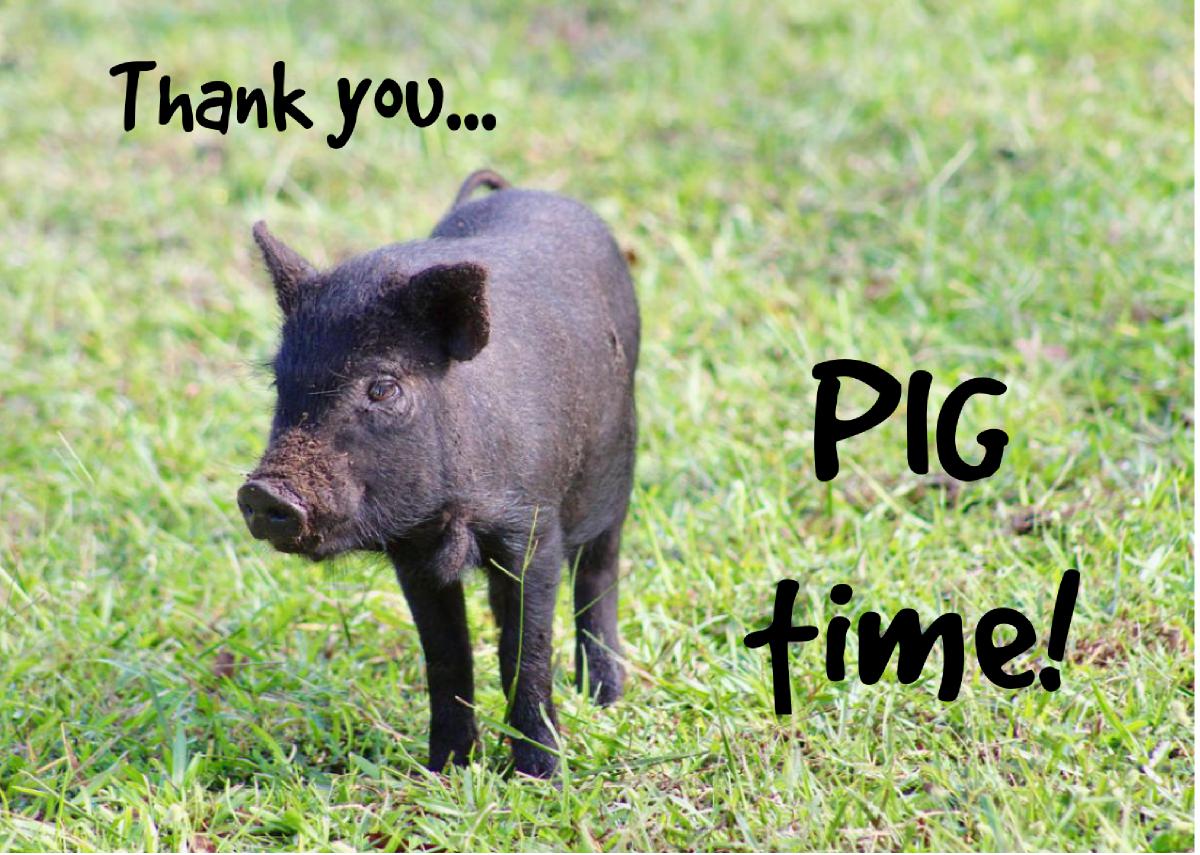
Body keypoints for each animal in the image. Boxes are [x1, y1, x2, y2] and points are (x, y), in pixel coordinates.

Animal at [237, 169, 638, 778]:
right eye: (280, 382)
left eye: (383, 387)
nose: (263, 492)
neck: (455, 513)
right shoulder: (414, 554)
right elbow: (447, 656)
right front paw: (446, 769)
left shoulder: (532, 529)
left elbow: (526, 647)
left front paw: (541, 774)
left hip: (619, 476)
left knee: (599, 576)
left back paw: (605, 697)